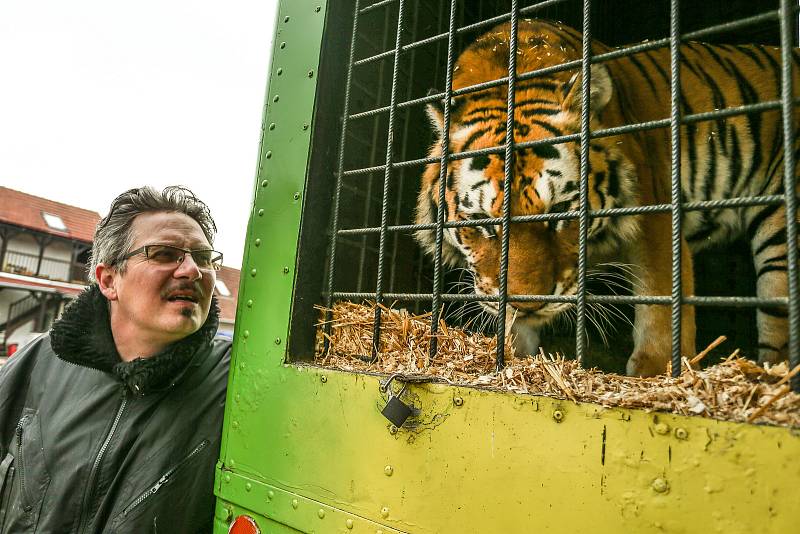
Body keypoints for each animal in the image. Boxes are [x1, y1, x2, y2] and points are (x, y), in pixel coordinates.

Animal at [416, 19, 796, 376]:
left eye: (560, 212)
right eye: (483, 222)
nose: (527, 304)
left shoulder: (654, 214)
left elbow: (659, 293)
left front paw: (657, 370)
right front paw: (509, 354)